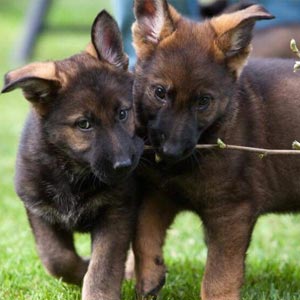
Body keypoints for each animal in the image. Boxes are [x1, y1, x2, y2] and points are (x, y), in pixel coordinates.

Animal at [1, 9, 144, 300]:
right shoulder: (39, 211)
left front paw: (98, 290)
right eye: (84, 124)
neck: (73, 171)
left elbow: (104, 266)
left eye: (123, 113)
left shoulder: (117, 210)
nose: (124, 166)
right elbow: (56, 258)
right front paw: (80, 271)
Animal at [132, 0, 300, 300]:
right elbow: (143, 234)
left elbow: (218, 276)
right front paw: (150, 275)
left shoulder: (232, 210)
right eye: (160, 93)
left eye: (203, 102)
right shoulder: (159, 192)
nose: (171, 152)